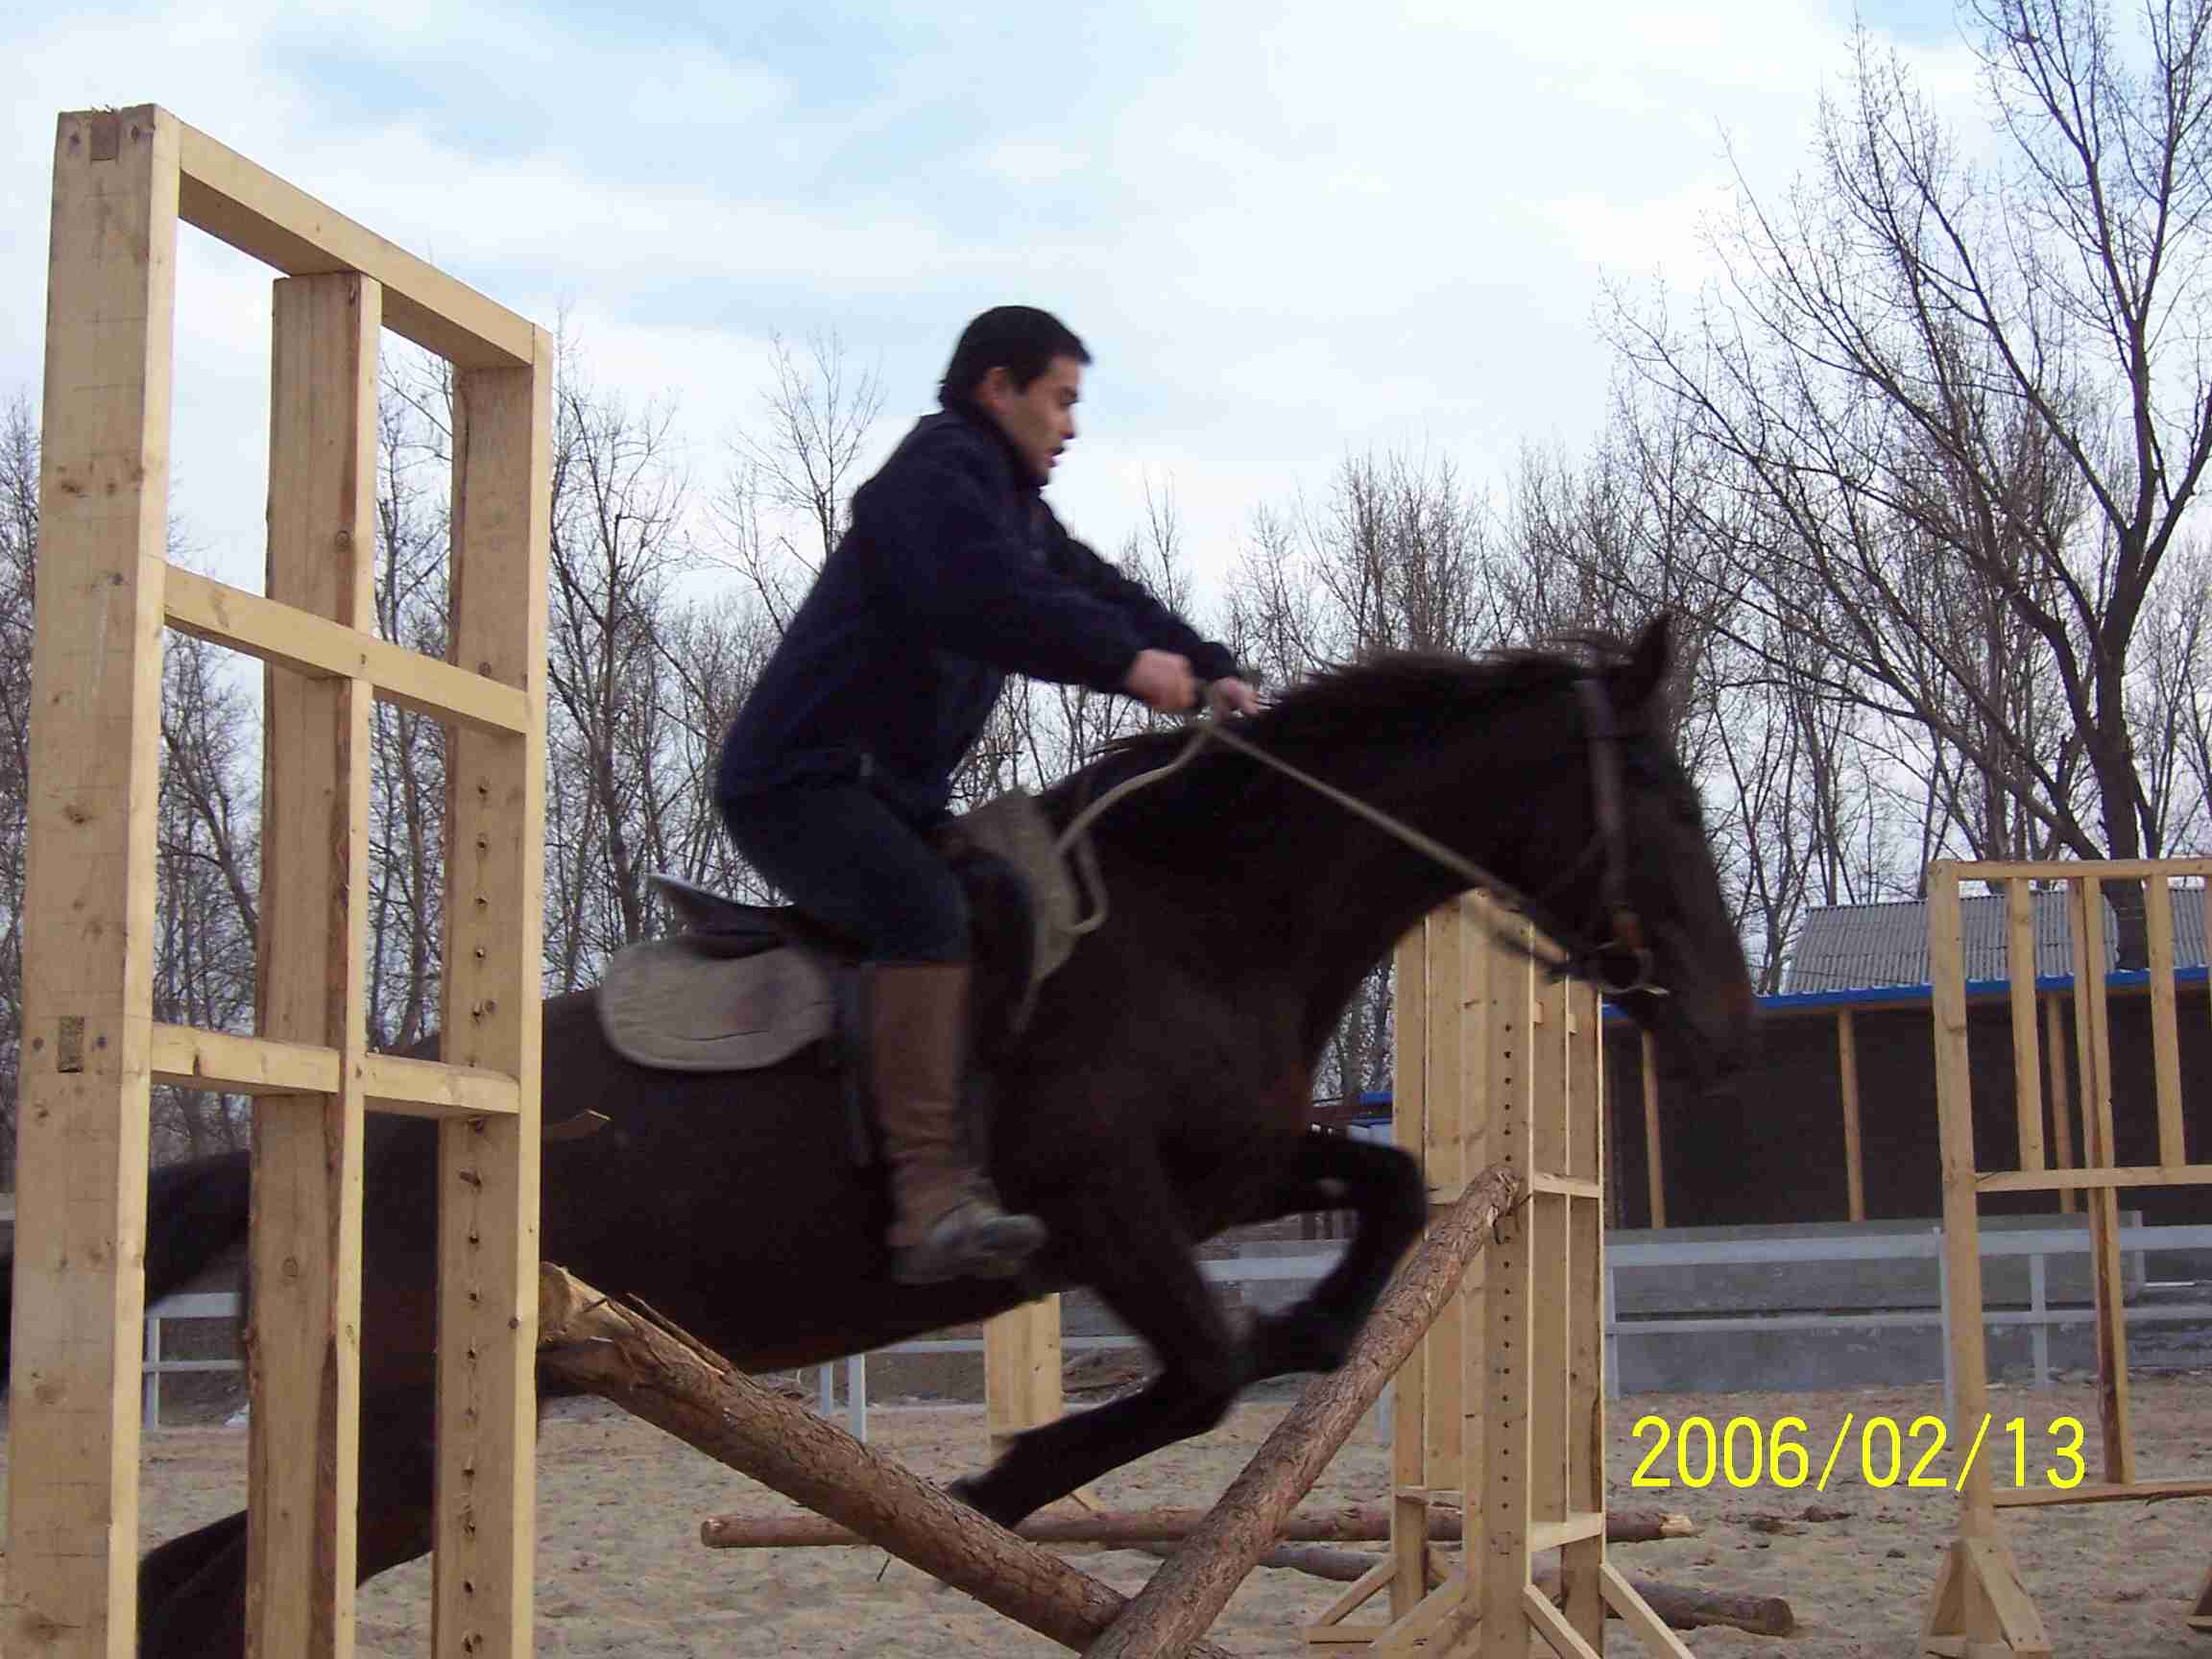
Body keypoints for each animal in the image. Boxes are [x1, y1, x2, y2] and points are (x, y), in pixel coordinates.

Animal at [12, 619, 1760, 1654]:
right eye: (1669, 797)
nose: (1722, 1035)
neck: (1211, 913)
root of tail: (309, 1139)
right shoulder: (1104, 1201)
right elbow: (1203, 1367)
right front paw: (1008, 1481)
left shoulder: (1232, 1172)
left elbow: (1383, 1200)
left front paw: (1310, 1333)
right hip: (400, 1427)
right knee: (212, 1588)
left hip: (420, 1442)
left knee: (195, 1583)